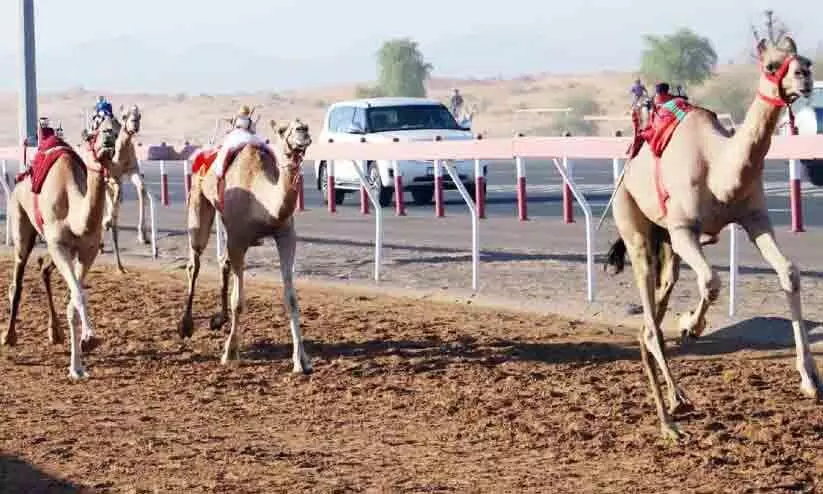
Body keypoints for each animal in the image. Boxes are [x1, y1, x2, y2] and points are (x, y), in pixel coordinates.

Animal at [3, 115, 118, 380]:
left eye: (117, 128)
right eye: (94, 132)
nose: (108, 136)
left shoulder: (87, 252)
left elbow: (73, 302)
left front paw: (78, 365)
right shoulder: (59, 246)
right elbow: (79, 295)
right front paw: (89, 339)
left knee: (44, 269)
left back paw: (54, 332)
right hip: (21, 224)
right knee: (17, 282)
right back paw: (9, 336)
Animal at [100, 104, 148, 273]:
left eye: (139, 115)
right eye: (125, 116)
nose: (134, 124)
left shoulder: (132, 170)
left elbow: (141, 189)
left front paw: (143, 236)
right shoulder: (113, 177)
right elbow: (116, 197)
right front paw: (107, 222)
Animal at [177, 117, 313, 372]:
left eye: (304, 126)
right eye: (283, 130)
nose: (303, 131)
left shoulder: (286, 235)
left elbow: (291, 299)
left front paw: (301, 361)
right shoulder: (238, 239)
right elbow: (238, 301)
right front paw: (230, 352)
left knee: (223, 262)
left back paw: (218, 320)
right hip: (198, 200)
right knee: (195, 262)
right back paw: (185, 326)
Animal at [604, 35, 819, 440]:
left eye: (807, 60)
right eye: (771, 65)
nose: (804, 77)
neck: (719, 170)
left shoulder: (755, 219)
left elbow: (790, 272)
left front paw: (810, 379)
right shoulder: (684, 229)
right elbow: (712, 281)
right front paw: (691, 323)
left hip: (665, 242)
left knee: (651, 318)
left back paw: (674, 403)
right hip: (635, 222)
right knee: (650, 304)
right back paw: (672, 417)